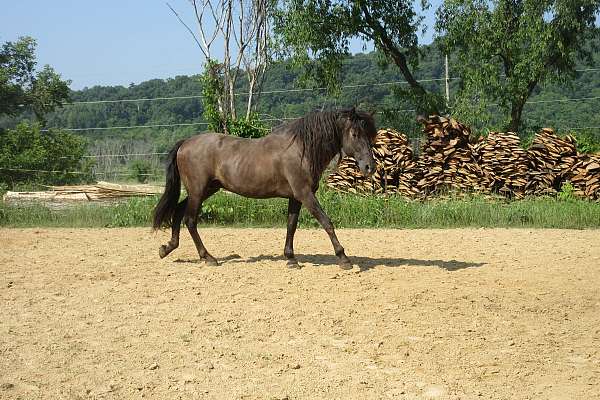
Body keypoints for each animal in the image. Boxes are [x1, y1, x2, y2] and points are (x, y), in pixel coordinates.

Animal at [151, 107, 376, 268]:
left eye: (369, 135)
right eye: (355, 134)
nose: (369, 167)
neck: (301, 150)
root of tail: (185, 143)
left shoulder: (295, 197)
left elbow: (291, 225)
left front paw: (290, 258)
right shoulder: (305, 194)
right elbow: (326, 222)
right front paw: (343, 257)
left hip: (206, 190)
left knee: (178, 212)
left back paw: (167, 248)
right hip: (198, 191)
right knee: (190, 220)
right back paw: (208, 257)